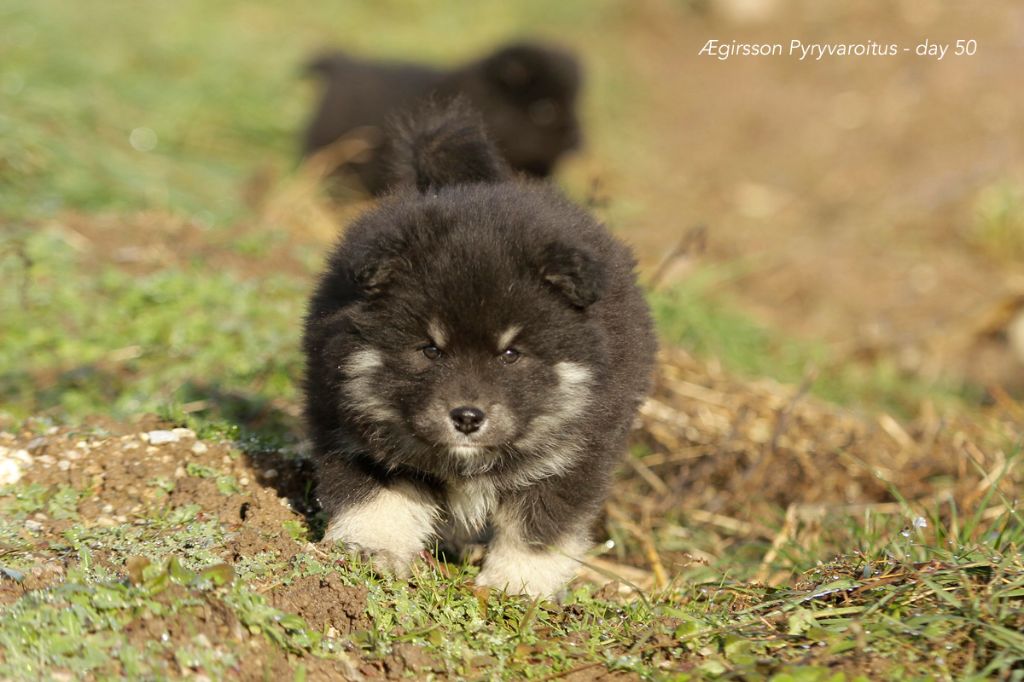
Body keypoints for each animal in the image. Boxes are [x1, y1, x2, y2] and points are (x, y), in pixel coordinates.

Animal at [303, 103, 655, 598]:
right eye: (430, 349)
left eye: (510, 355)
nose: (467, 418)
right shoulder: (351, 429)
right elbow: (376, 497)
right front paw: (373, 549)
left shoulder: (572, 457)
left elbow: (539, 527)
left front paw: (518, 585)